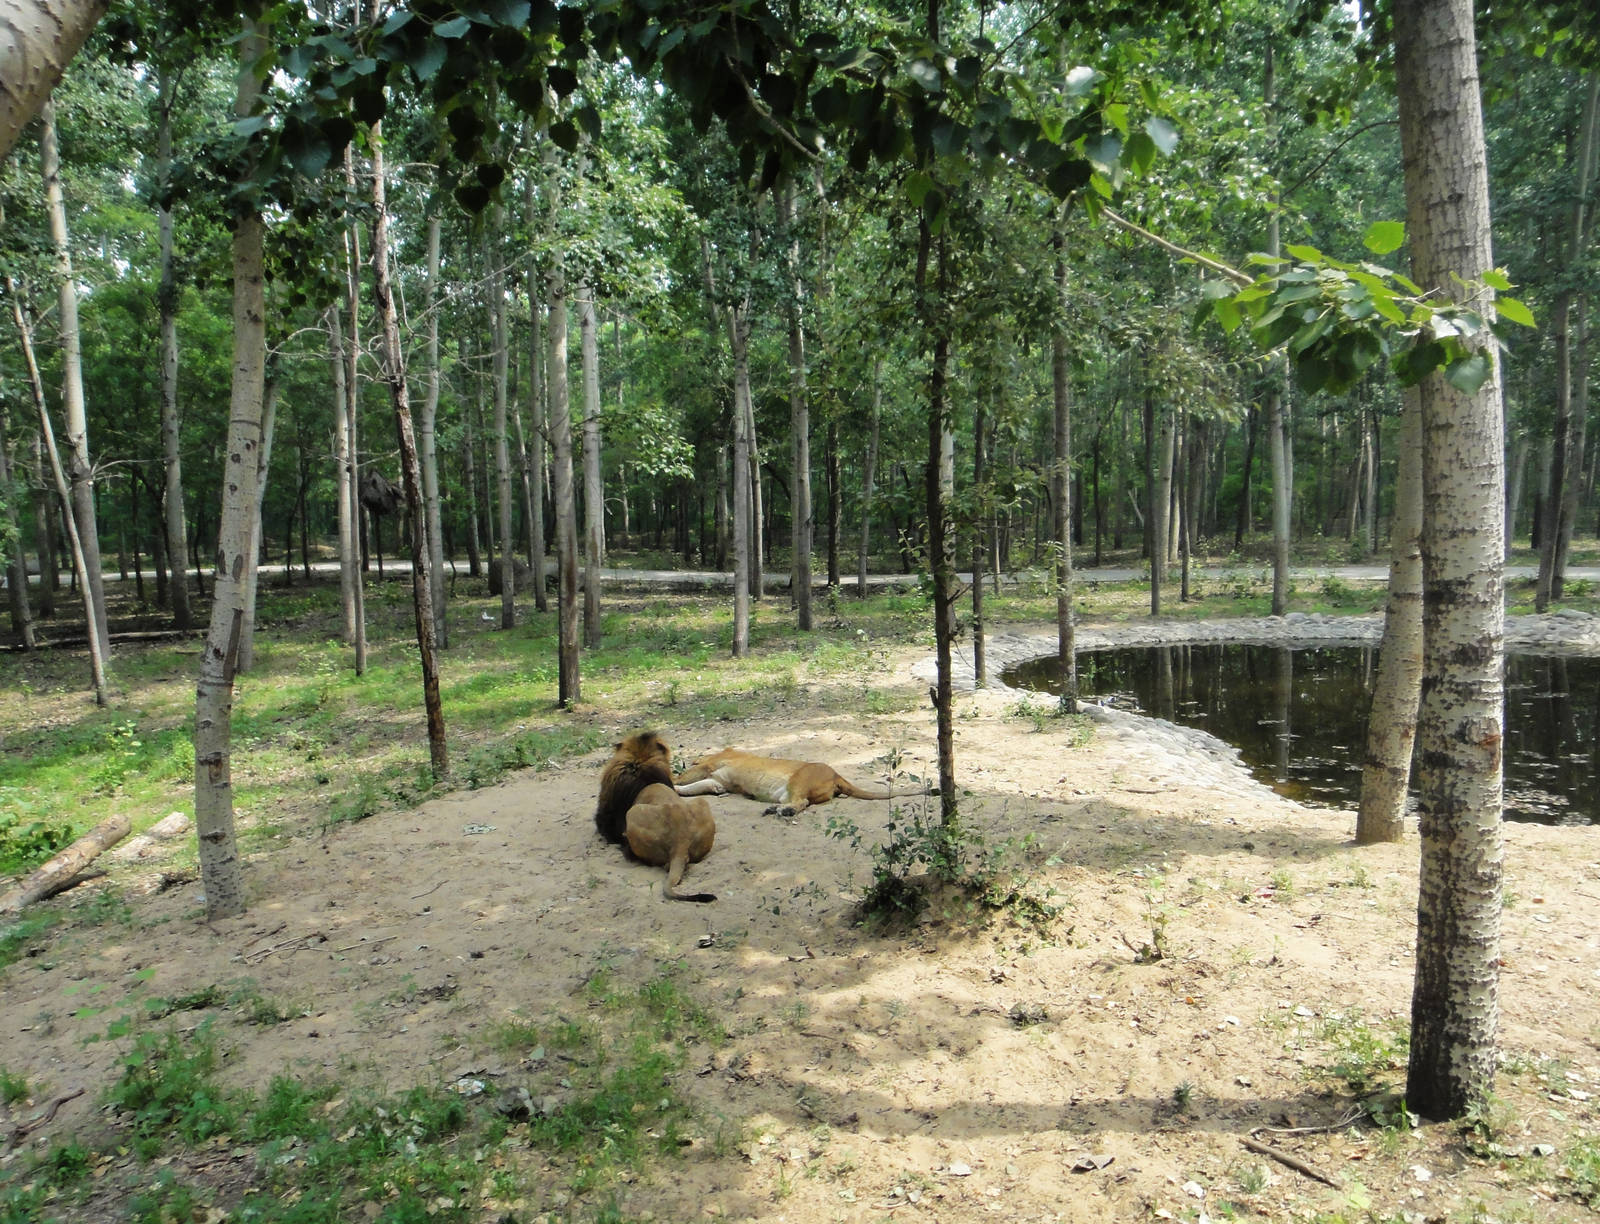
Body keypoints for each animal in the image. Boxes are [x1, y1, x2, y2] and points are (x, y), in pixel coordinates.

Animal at [674, 747, 914, 818]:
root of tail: (836, 774)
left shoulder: (709, 766)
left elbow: (685, 778)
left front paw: (672, 781)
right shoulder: (718, 780)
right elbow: (691, 788)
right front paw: (678, 788)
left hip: (799, 779)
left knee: (802, 802)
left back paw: (781, 811)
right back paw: (776, 809)